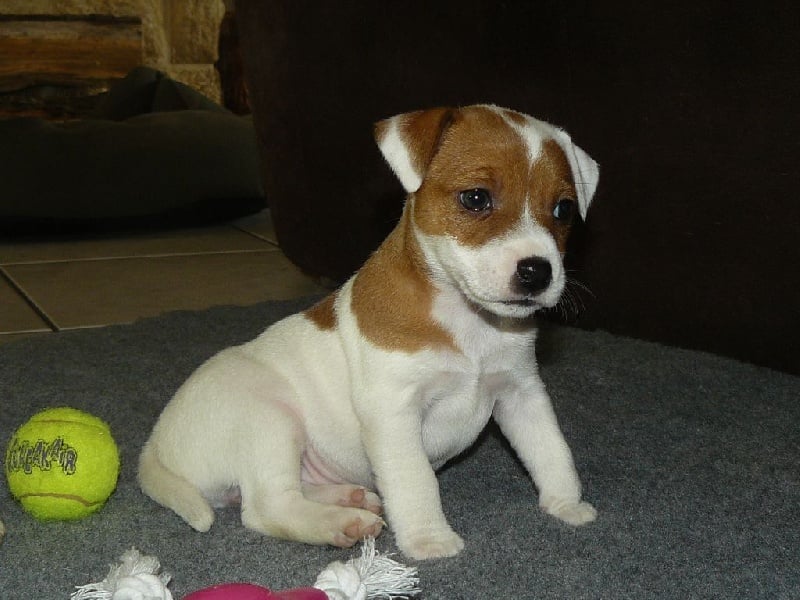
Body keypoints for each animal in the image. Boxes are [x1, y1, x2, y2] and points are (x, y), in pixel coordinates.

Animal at [138, 104, 599, 560]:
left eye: (563, 210)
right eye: (476, 198)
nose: (538, 271)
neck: (466, 321)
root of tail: (154, 447)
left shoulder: (522, 393)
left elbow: (552, 450)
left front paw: (566, 504)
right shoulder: (394, 412)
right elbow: (415, 480)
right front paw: (429, 540)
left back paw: (349, 499)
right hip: (269, 419)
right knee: (268, 507)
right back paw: (339, 523)